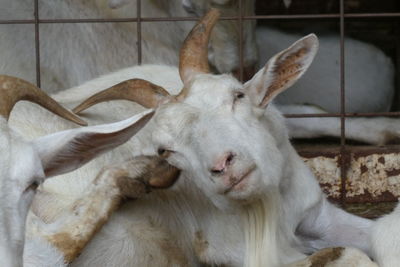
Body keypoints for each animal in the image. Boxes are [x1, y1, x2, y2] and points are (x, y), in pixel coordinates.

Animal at [18, 9, 380, 266]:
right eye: (166, 150)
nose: (224, 166)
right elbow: (349, 254)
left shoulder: (316, 214)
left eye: (237, 96)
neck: (277, 210)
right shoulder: (232, 248)